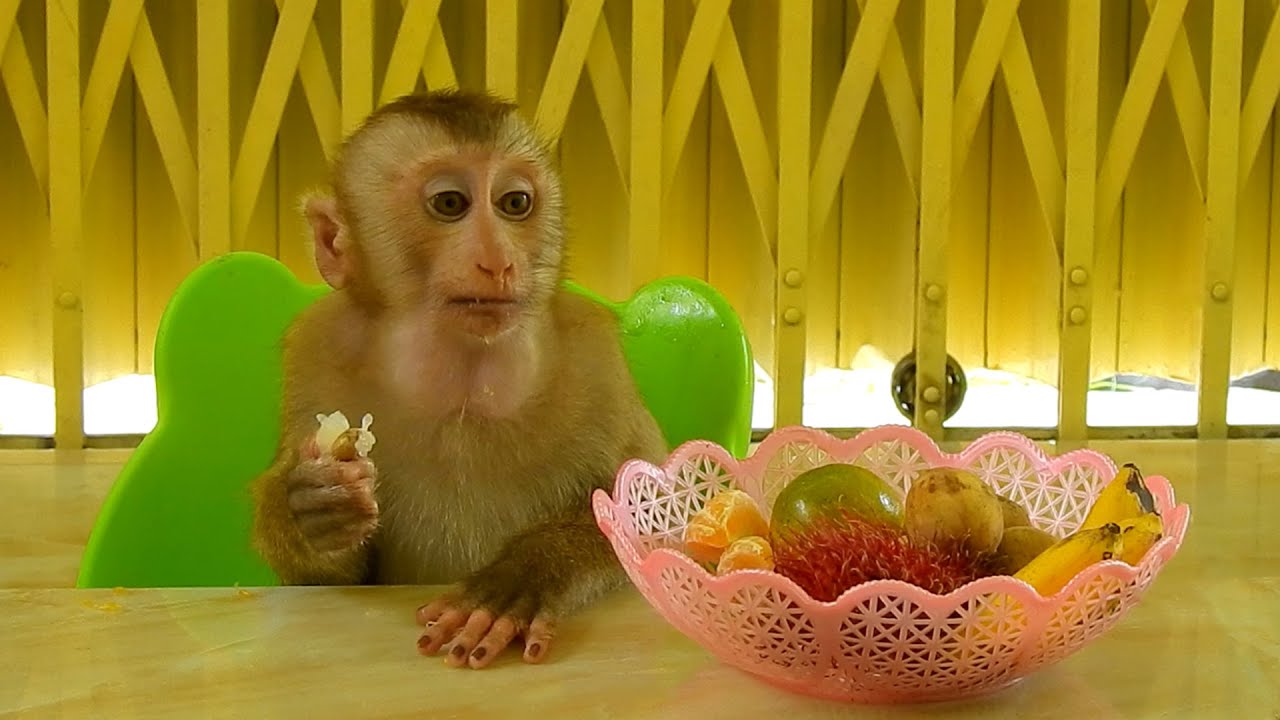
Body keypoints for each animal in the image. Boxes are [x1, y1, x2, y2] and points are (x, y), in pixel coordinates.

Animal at [249, 89, 668, 670]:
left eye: (515, 203)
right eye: (450, 204)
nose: (498, 263)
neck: (465, 382)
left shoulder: (599, 362)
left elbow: (657, 520)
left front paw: (522, 576)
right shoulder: (316, 353)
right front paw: (310, 508)